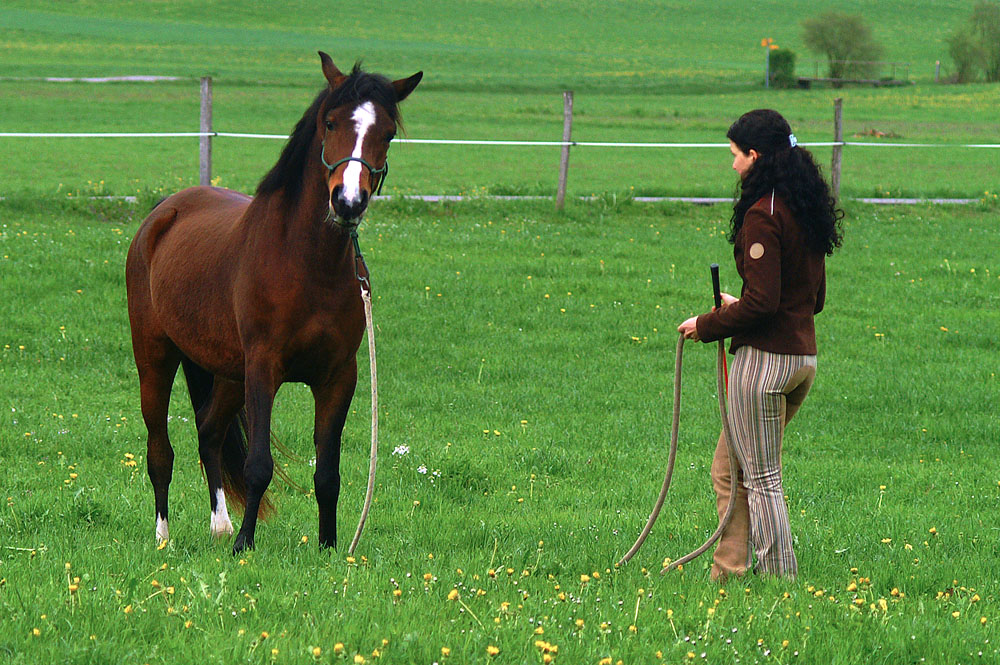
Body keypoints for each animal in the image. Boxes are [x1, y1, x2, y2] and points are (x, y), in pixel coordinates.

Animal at [126, 50, 422, 548]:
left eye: (387, 132)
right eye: (329, 122)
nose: (347, 202)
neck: (306, 265)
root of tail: (162, 214)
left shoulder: (338, 377)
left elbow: (328, 474)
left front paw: (329, 548)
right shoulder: (264, 367)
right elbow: (259, 465)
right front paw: (245, 546)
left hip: (228, 372)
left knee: (209, 432)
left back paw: (221, 525)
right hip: (156, 358)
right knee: (159, 450)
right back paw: (165, 536)